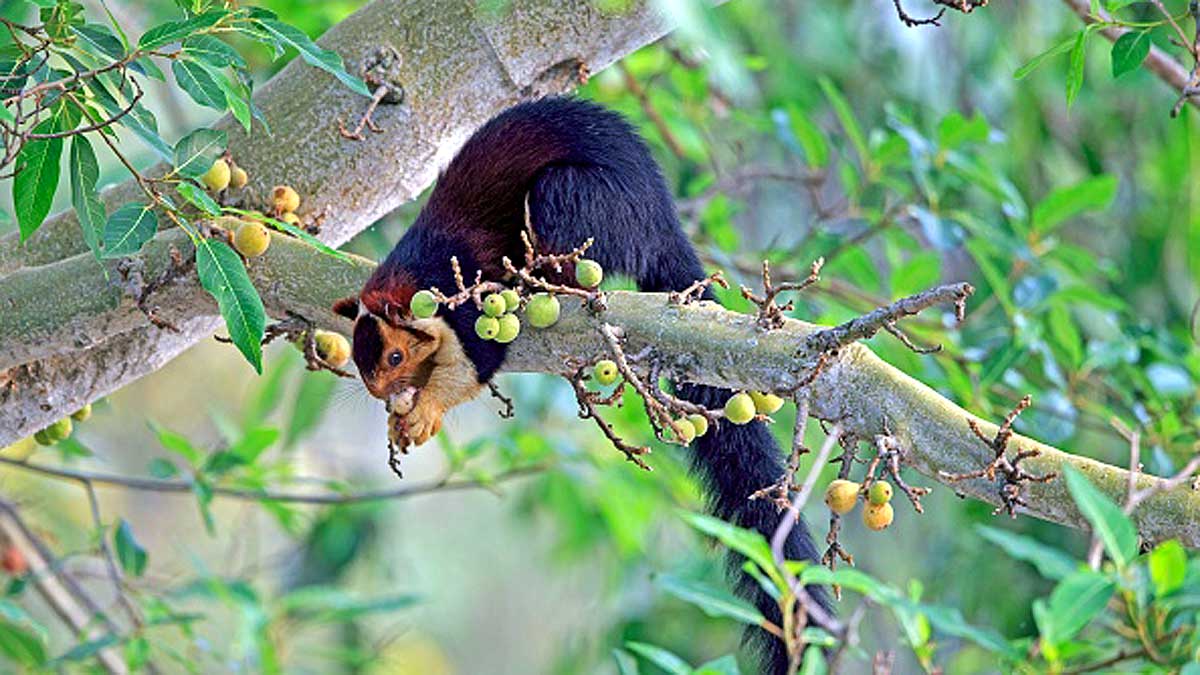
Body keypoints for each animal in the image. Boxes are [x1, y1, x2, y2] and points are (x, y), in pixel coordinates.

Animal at [333, 97, 827, 672]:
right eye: (361, 365)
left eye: (394, 355)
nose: (383, 395)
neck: (415, 271)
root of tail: (660, 224)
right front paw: (403, 414)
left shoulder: (466, 294)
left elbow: (479, 360)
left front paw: (426, 409)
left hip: (574, 201)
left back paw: (548, 279)